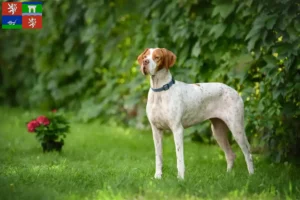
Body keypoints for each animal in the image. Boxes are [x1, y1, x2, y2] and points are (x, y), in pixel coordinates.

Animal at [137, 47, 254, 180]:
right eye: (145, 56)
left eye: (157, 57)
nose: (145, 62)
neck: (160, 91)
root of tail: (235, 91)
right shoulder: (156, 130)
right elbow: (159, 157)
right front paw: (158, 176)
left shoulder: (177, 129)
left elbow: (179, 158)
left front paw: (180, 178)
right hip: (218, 131)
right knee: (230, 154)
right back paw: (228, 175)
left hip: (236, 128)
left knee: (248, 153)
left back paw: (251, 175)